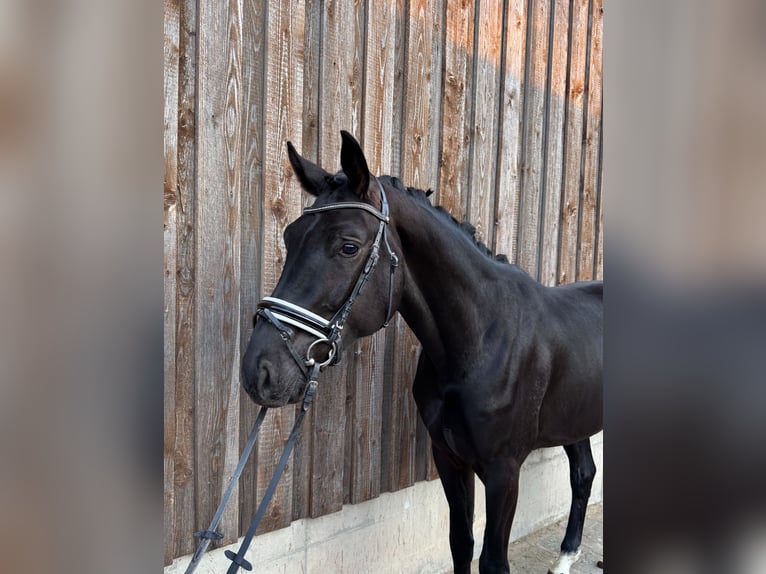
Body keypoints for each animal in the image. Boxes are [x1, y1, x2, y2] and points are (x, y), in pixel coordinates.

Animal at [242, 131, 603, 574]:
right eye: (290, 237)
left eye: (348, 246)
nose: (259, 369)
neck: (481, 343)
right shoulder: (448, 457)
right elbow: (460, 543)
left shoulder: (504, 471)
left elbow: (492, 561)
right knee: (583, 473)